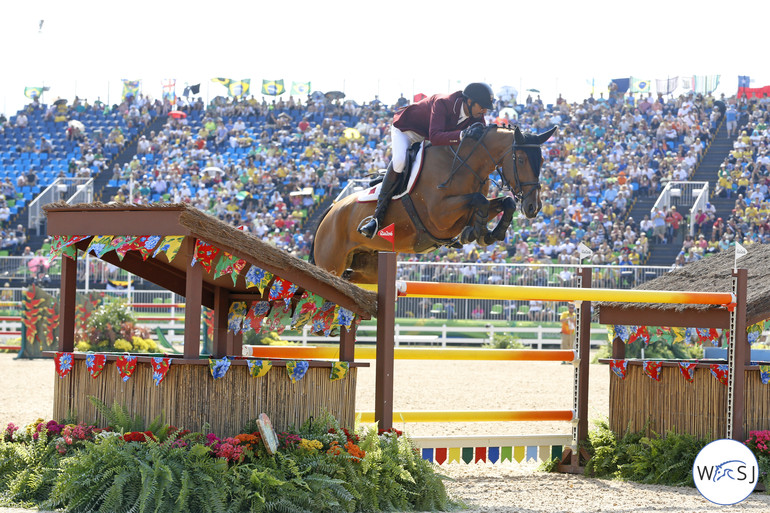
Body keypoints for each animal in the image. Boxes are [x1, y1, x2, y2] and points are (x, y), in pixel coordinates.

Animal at [308, 125, 556, 284]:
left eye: (543, 160)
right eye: (521, 160)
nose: (533, 207)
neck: (463, 164)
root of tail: (331, 209)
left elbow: (504, 202)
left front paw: (488, 232)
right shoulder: (439, 215)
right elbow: (479, 200)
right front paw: (479, 231)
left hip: (368, 267)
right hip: (330, 262)